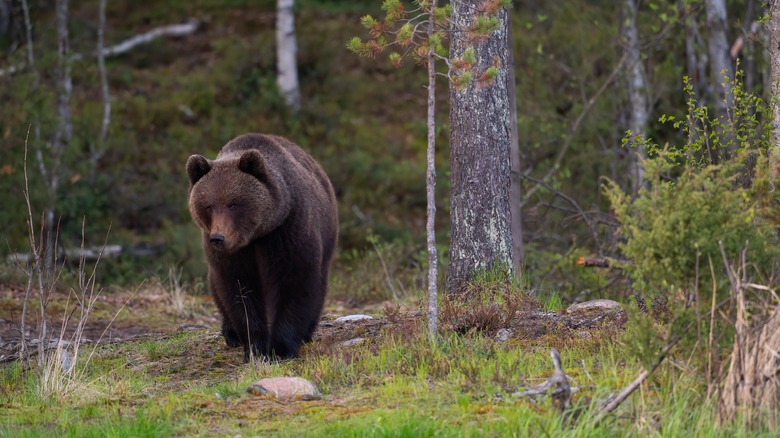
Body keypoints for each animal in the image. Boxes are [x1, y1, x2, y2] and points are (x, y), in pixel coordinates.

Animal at [186, 133, 338, 361]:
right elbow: (239, 290)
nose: (218, 238)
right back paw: (231, 333)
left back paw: (306, 333)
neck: (255, 237)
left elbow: (293, 280)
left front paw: (281, 348)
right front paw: (256, 347)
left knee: (318, 284)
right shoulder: (232, 255)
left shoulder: (286, 231)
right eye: (209, 206)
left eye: (234, 204)